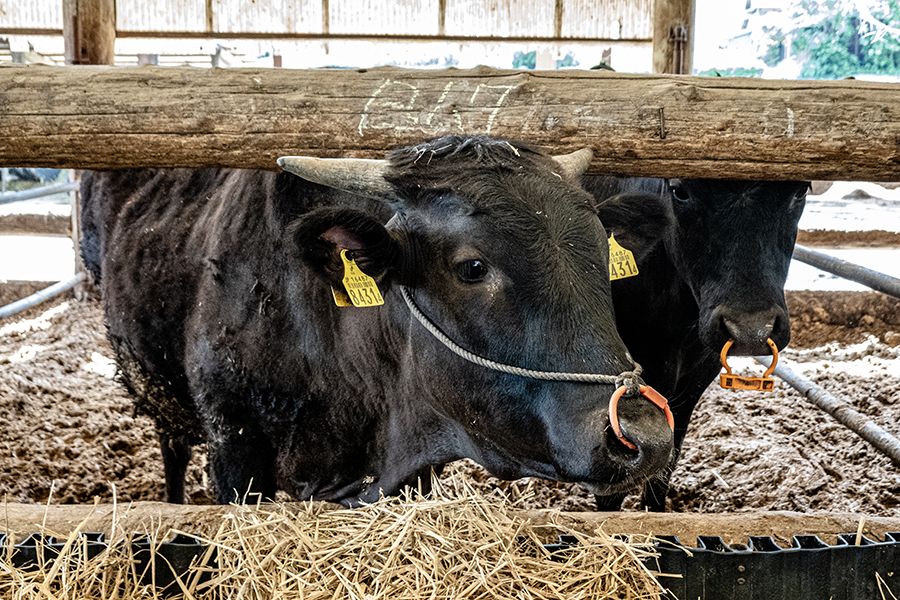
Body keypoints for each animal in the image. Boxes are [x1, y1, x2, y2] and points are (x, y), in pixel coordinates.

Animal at [586, 176, 809, 511]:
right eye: (680, 191)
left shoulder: (694, 381)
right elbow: (614, 484)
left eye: (800, 191)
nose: (751, 330)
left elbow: (664, 467)